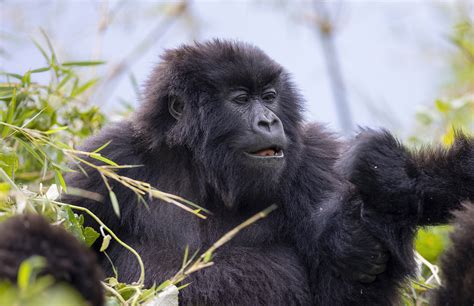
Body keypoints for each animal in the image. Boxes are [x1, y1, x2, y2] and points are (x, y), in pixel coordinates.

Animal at [0, 41, 472, 306]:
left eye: (270, 95)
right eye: (241, 99)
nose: (268, 121)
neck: (205, 170)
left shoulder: (316, 162)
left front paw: (384, 191)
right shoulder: (105, 164)